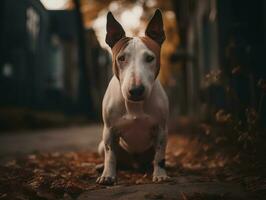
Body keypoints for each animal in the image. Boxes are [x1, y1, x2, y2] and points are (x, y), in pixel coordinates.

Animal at [96, 9, 169, 184]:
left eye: (149, 58)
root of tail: (134, 166)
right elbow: (110, 155)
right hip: (101, 145)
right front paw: (108, 175)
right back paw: (102, 167)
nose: (136, 90)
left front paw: (160, 174)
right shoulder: (109, 131)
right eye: (121, 58)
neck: (135, 105)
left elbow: (160, 156)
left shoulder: (162, 130)